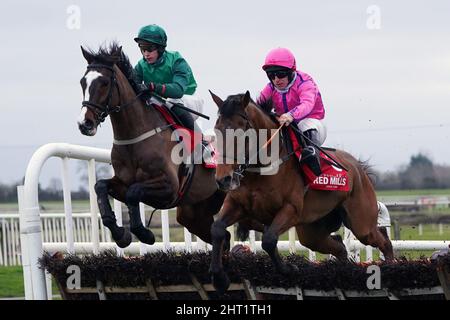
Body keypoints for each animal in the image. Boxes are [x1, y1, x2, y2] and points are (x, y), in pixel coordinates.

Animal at [77, 42, 225, 248]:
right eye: (83, 82)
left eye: (104, 82)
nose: (85, 123)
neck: (134, 138)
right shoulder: (122, 183)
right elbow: (101, 186)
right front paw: (120, 234)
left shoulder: (170, 188)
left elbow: (134, 192)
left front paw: (144, 233)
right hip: (195, 212)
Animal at [209, 90, 392, 292]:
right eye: (217, 129)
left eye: (241, 132)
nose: (223, 179)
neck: (263, 169)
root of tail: (358, 167)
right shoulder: (237, 204)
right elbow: (217, 229)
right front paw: (219, 277)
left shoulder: (291, 209)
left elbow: (269, 239)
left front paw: (289, 268)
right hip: (312, 232)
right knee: (339, 247)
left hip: (361, 223)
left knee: (383, 240)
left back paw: (391, 268)